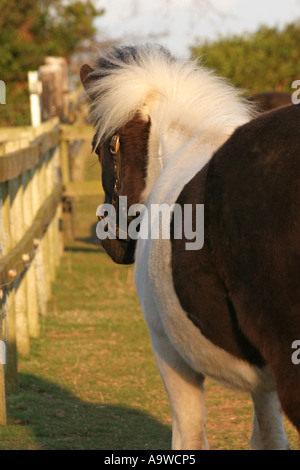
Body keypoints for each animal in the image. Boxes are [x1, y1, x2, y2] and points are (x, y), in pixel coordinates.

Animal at [80, 45, 300, 452]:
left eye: (100, 148)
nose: (111, 241)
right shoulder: (265, 381)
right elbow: (269, 437)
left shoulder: (169, 352)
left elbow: (190, 436)